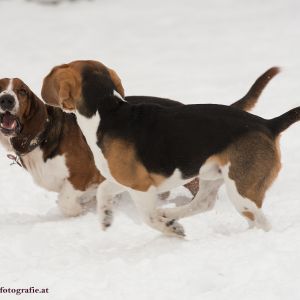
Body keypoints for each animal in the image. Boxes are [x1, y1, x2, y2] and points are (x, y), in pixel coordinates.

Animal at [40, 60, 284, 237]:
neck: (107, 111)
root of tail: (268, 124)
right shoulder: (122, 180)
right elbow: (103, 192)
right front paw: (106, 216)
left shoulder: (141, 186)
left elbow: (148, 217)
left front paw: (171, 231)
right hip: (212, 176)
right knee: (203, 203)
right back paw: (170, 213)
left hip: (241, 192)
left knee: (262, 222)